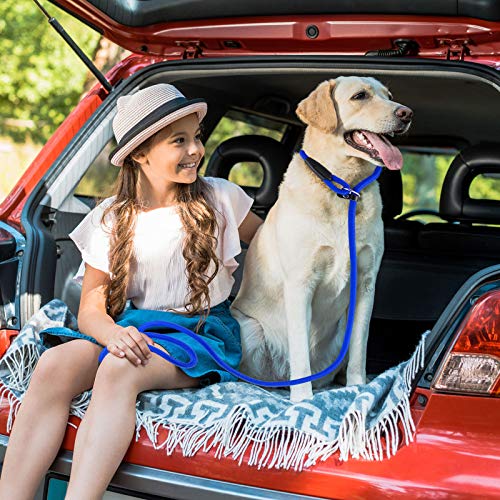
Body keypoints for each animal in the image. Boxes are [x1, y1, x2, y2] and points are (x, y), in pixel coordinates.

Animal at [232, 75, 412, 402]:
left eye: (389, 96)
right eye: (360, 96)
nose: (406, 113)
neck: (344, 190)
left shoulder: (365, 285)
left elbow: (359, 348)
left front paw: (357, 386)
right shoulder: (300, 284)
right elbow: (301, 352)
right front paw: (302, 400)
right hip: (249, 330)